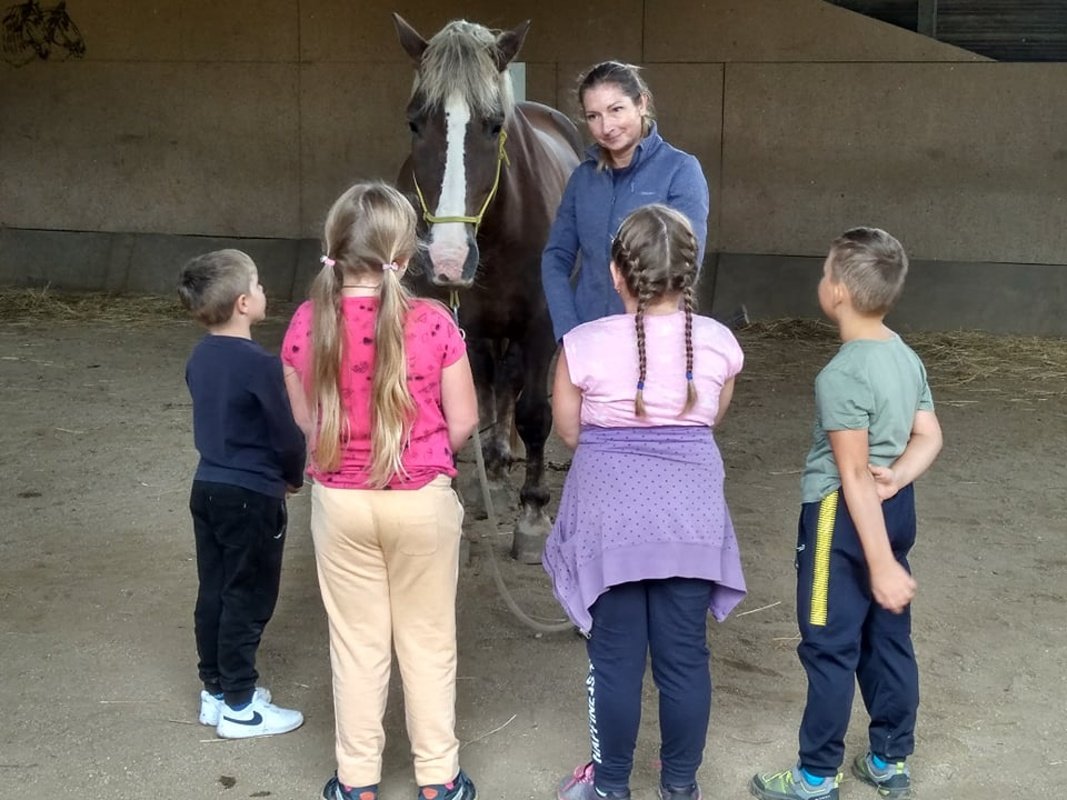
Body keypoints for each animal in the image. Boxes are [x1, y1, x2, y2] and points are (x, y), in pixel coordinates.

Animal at [392, 14, 582, 562]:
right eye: (415, 122)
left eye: (495, 124)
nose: (449, 258)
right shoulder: (461, 323)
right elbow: (466, 401)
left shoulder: (540, 325)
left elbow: (535, 413)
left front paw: (533, 515)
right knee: (491, 383)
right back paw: (492, 470)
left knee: (511, 385)